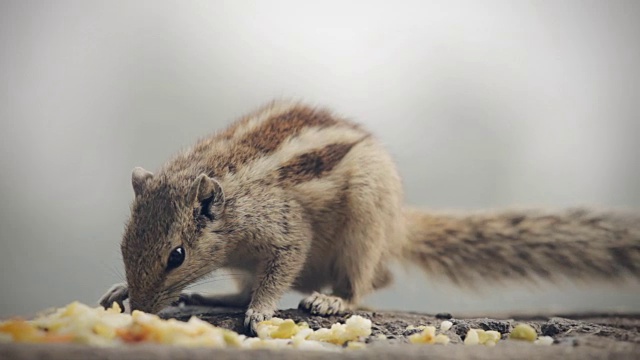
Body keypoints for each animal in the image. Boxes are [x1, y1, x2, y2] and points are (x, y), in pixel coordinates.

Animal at [99, 100, 640, 334]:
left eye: (176, 254)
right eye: (123, 244)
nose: (142, 309)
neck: (232, 202)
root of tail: (398, 224)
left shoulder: (283, 228)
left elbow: (282, 265)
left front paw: (262, 310)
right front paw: (119, 290)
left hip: (364, 224)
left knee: (371, 281)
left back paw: (330, 300)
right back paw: (219, 295)